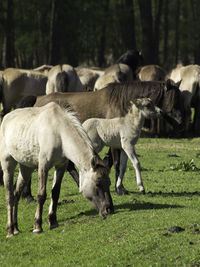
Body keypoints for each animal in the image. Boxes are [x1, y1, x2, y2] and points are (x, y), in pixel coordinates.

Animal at [0, 102, 113, 239]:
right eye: (97, 183)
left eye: (109, 183)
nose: (108, 210)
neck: (59, 132)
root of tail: (6, 118)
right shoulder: (43, 166)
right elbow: (41, 195)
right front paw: (37, 226)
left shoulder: (61, 166)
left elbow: (55, 192)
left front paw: (53, 221)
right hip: (8, 166)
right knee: (9, 196)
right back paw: (10, 230)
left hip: (26, 168)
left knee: (16, 194)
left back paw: (16, 228)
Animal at [18, 78, 182, 198]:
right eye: (173, 98)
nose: (180, 120)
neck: (120, 102)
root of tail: (37, 99)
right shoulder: (118, 145)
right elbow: (117, 164)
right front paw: (122, 189)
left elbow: (115, 164)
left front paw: (118, 186)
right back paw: (29, 196)